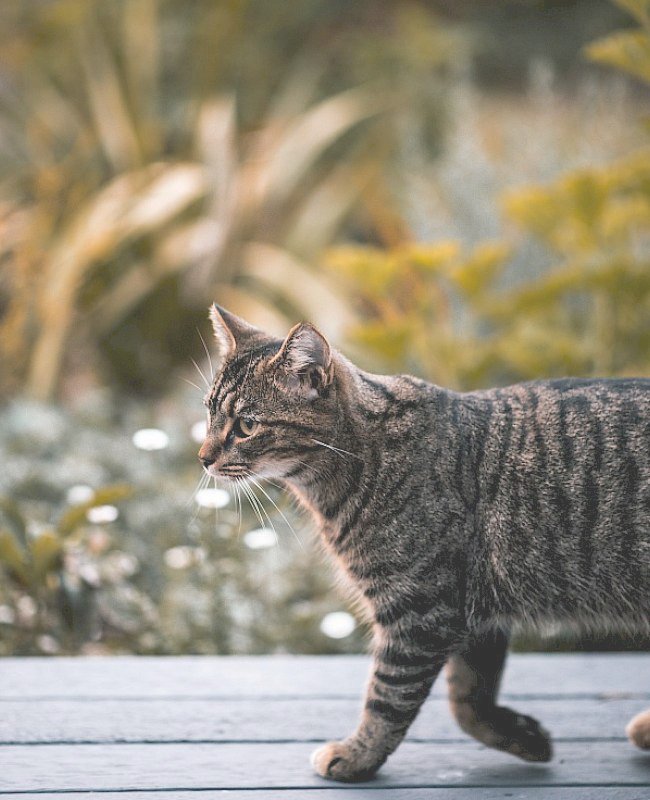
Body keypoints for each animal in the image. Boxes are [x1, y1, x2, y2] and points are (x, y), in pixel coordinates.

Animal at [197, 304, 648, 780]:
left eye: (246, 425)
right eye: (208, 414)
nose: (202, 457)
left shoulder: (420, 611)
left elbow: (388, 698)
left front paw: (357, 755)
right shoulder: (473, 615)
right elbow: (466, 701)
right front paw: (522, 736)